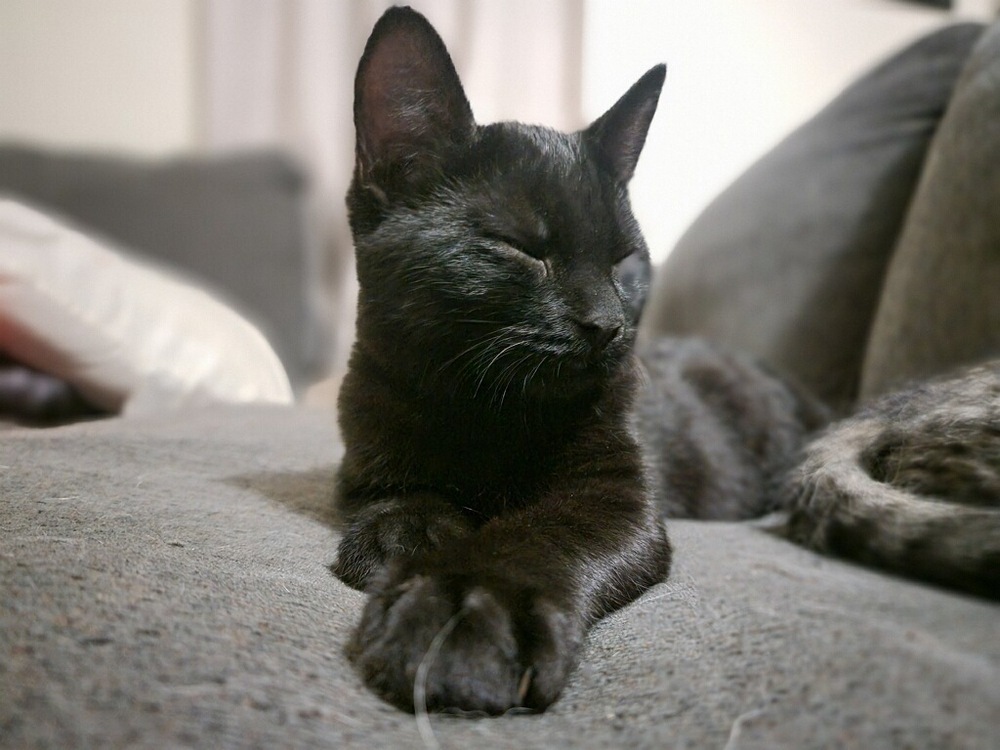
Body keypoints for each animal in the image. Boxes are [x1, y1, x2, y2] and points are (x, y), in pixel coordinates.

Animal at [332, 7, 824, 716]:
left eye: (626, 262)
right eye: (520, 247)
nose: (607, 324)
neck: (484, 407)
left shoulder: (616, 491)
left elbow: (545, 532)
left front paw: (466, 607)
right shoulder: (364, 444)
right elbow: (393, 490)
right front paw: (411, 533)